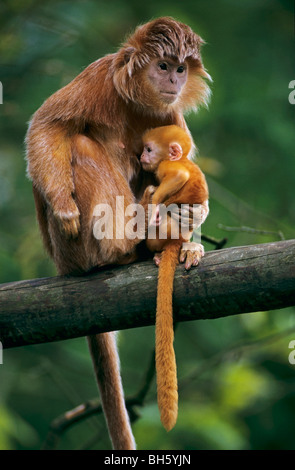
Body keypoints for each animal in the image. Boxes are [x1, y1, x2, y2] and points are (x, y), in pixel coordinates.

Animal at [25, 18, 210, 450]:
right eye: (163, 65)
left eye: (181, 69)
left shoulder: (170, 111)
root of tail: (61, 264)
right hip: (74, 251)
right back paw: (123, 247)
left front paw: (190, 241)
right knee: (77, 141)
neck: (136, 102)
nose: (174, 80)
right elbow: (48, 126)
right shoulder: (99, 78)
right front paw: (63, 206)